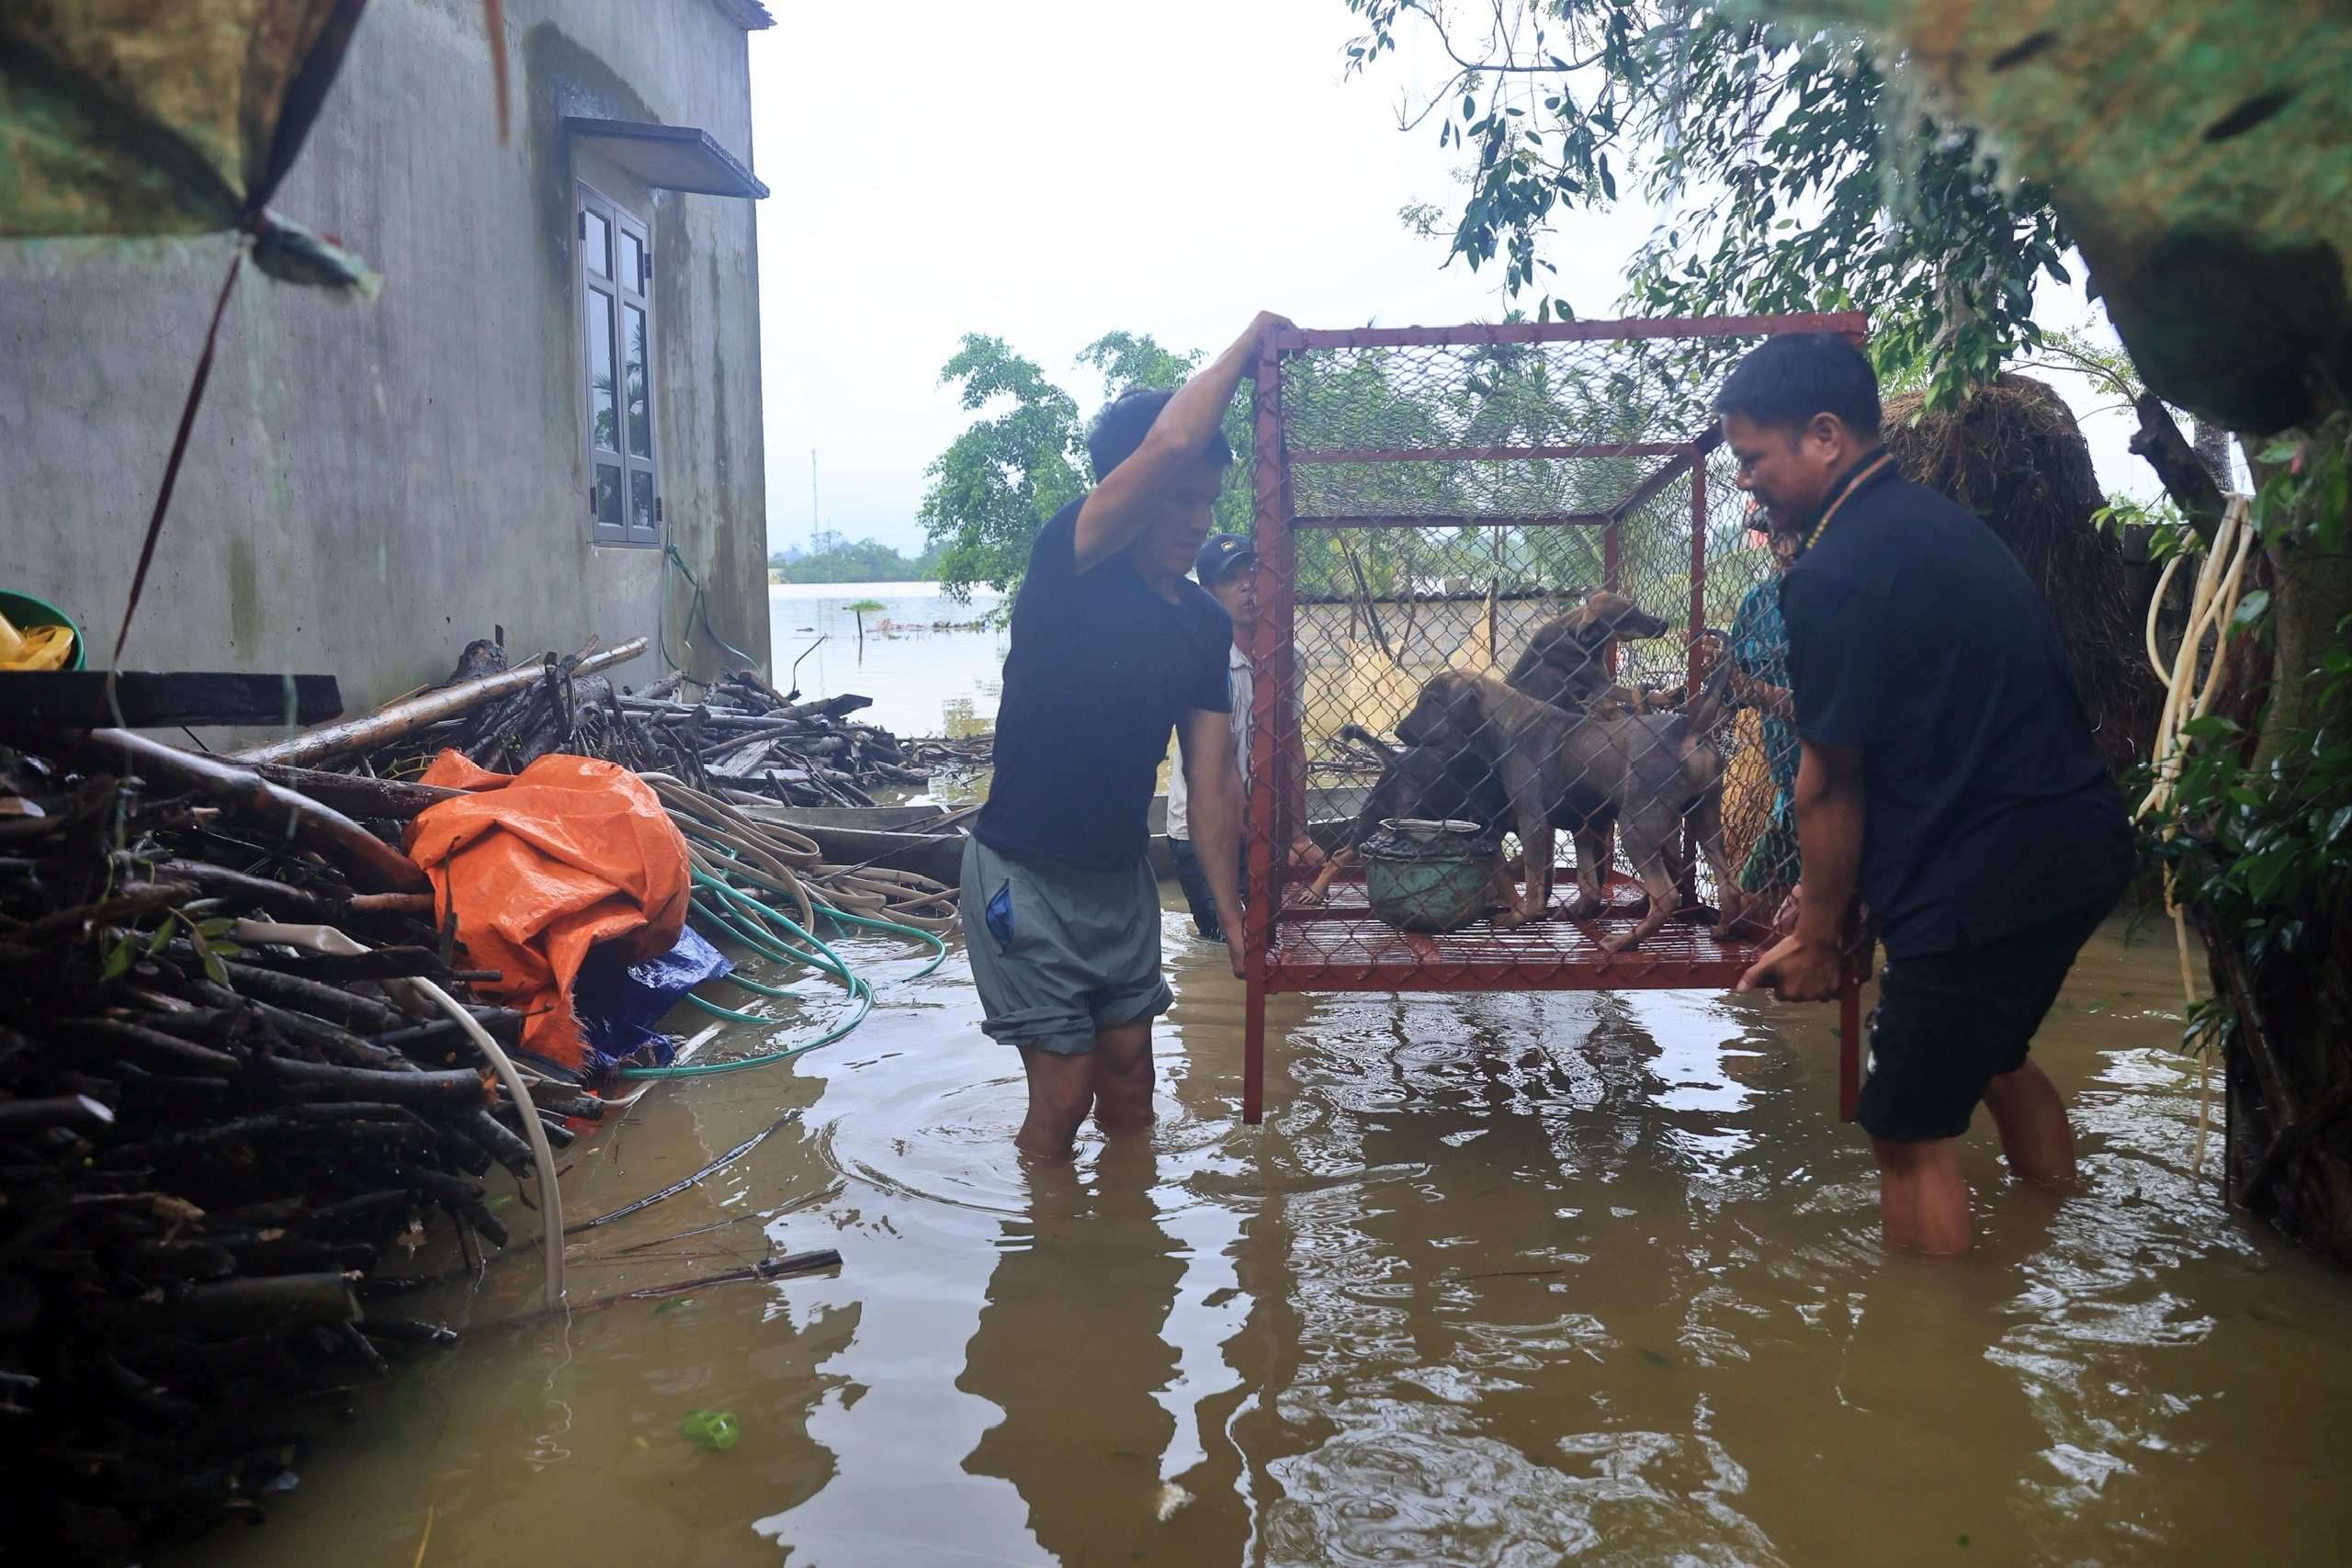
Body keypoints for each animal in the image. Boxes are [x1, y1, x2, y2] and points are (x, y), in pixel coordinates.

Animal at [1392, 667, 1749, 949]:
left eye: (1431, 701)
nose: (1397, 731)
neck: (1507, 724)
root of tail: (1688, 728)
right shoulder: (1583, 824)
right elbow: (1588, 883)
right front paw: (1578, 909)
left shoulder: (1533, 823)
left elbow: (1533, 881)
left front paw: (1521, 915)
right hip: (1705, 817)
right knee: (1729, 885)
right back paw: (1722, 929)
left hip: (1637, 826)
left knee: (1667, 897)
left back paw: (1623, 942)